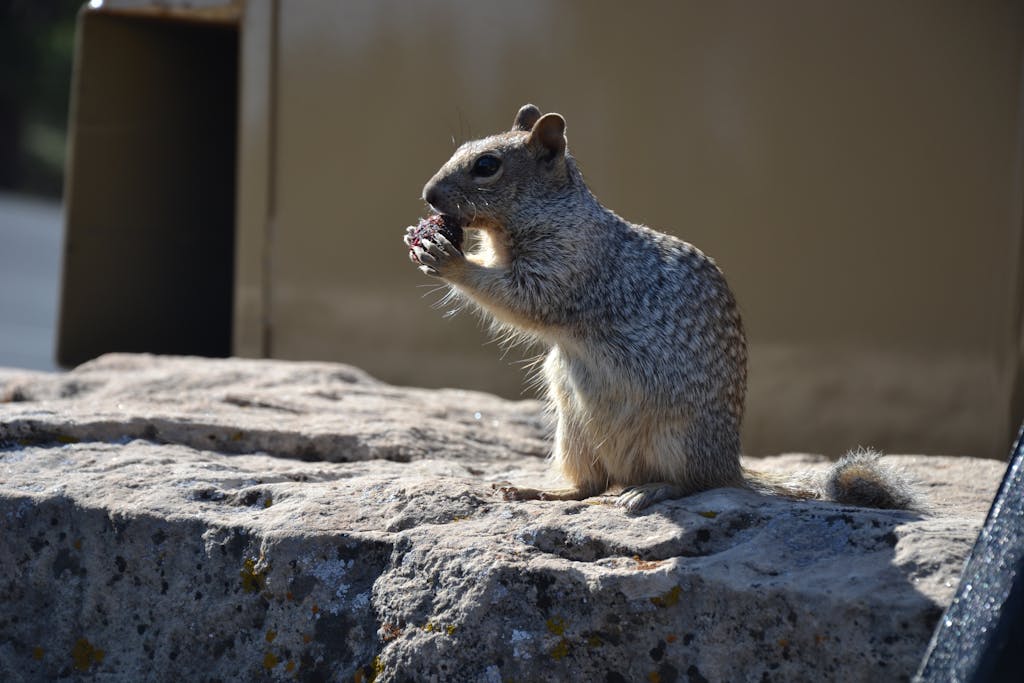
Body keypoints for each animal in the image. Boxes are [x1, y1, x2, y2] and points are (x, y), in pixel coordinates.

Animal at [405, 104, 920, 513]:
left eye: (486, 165)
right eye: (464, 147)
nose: (427, 195)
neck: (551, 212)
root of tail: (730, 464)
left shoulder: (566, 267)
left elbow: (523, 297)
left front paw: (449, 259)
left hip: (673, 438)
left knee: (691, 484)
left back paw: (649, 492)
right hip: (572, 433)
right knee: (590, 485)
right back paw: (539, 491)